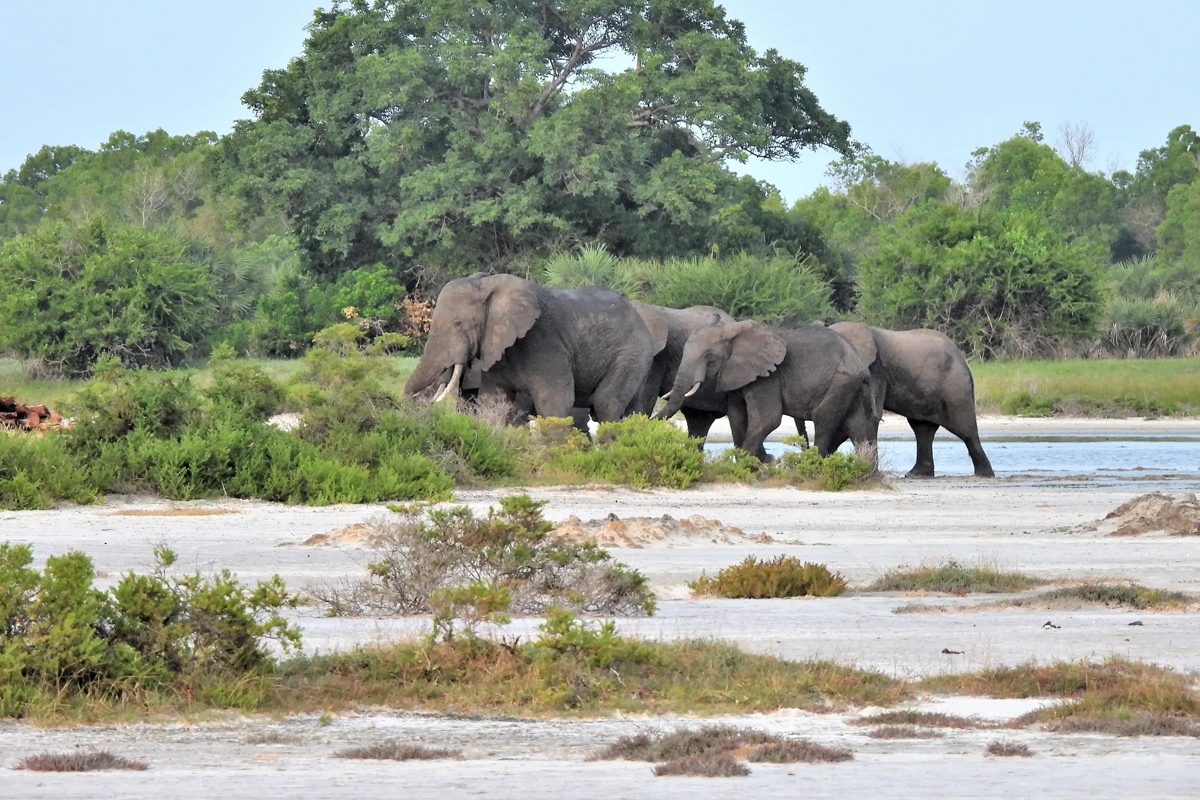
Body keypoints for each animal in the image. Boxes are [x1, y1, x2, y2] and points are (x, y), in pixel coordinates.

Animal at [408, 273, 662, 424]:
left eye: (458, 324)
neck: (489, 284)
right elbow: (492, 401)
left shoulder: (543, 341)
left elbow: (555, 400)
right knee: (631, 409)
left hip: (630, 354)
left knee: (606, 404)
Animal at [657, 316, 883, 460]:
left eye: (708, 356)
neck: (734, 331)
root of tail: (861, 366)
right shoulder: (739, 374)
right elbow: (737, 417)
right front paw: (758, 463)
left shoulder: (768, 377)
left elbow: (768, 419)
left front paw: (755, 464)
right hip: (850, 387)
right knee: (856, 426)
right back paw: (865, 473)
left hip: (840, 382)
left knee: (823, 419)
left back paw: (814, 466)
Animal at [830, 321, 998, 479]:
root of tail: (962, 360)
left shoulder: (875, 370)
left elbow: (868, 415)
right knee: (922, 429)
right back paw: (917, 474)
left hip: (955, 387)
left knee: (965, 430)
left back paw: (984, 474)